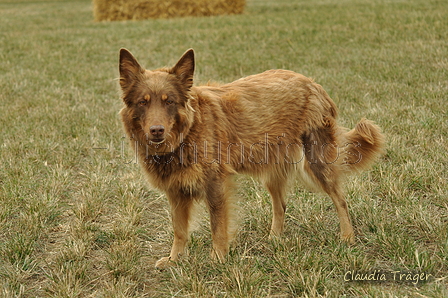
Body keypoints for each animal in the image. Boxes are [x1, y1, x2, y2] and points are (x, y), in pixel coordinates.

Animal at [118, 48, 384, 268]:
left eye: (169, 101)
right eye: (143, 102)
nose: (156, 130)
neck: (188, 132)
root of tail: (312, 83)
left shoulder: (216, 185)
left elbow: (217, 226)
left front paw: (218, 258)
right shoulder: (176, 192)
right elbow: (179, 229)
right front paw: (175, 260)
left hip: (317, 162)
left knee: (340, 199)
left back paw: (347, 237)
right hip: (273, 168)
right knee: (281, 205)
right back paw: (274, 238)